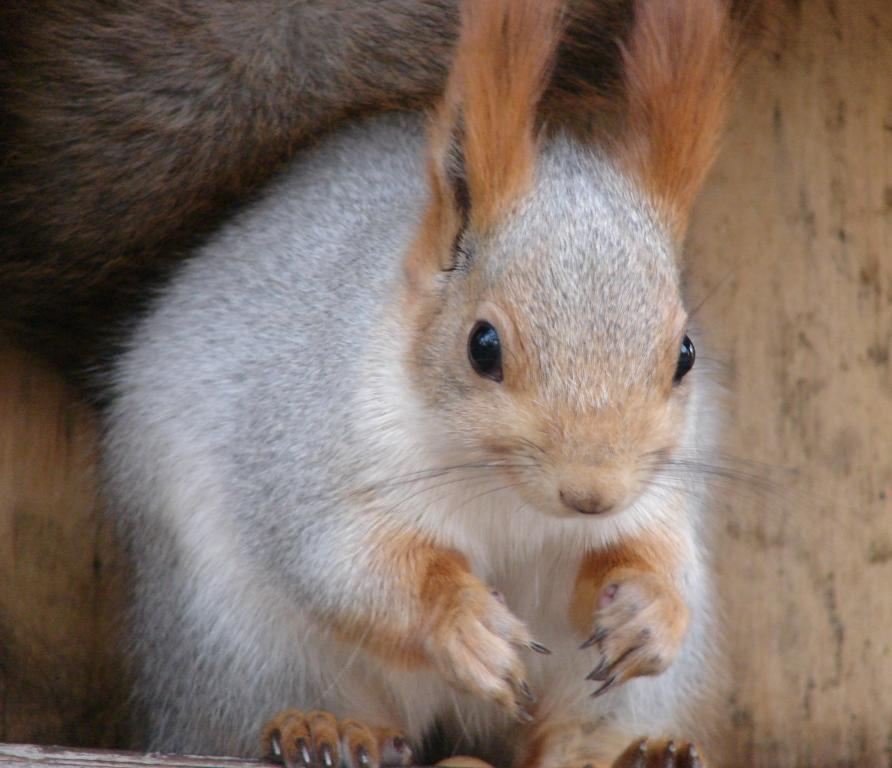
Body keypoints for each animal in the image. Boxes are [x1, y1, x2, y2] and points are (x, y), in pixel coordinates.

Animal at [101, 0, 734, 766]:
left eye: (685, 354)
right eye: (482, 346)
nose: (591, 494)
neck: (510, 498)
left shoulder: (659, 491)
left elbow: (654, 553)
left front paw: (649, 610)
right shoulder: (309, 449)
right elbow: (353, 565)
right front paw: (463, 623)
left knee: (567, 730)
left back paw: (623, 749)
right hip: (234, 643)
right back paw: (328, 729)